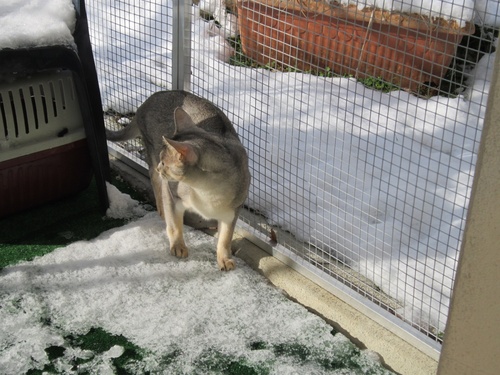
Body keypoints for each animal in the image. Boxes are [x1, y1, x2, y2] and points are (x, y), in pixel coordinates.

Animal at [108, 92, 252, 272]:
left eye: (164, 163)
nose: (160, 168)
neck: (208, 193)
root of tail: (148, 100)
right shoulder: (172, 193)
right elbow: (175, 225)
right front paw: (178, 246)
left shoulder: (232, 211)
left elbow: (225, 237)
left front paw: (224, 258)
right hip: (152, 156)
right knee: (155, 182)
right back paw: (162, 211)